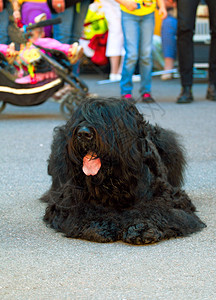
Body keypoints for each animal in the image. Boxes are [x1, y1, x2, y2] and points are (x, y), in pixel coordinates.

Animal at [41, 98, 206, 244]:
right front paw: (100, 225)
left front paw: (142, 228)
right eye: (80, 118)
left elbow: (157, 209)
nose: (83, 133)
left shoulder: (172, 198)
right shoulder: (68, 200)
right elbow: (85, 210)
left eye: (105, 117)